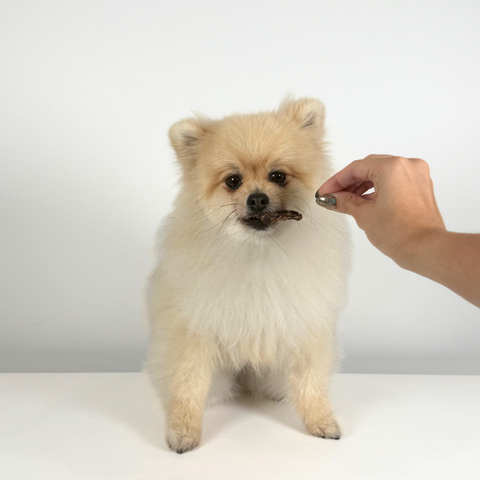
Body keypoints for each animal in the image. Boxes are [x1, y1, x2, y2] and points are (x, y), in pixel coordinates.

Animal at [144, 95, 350, 452]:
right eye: (233, 181)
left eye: (278, 175)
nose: (257, 198)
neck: (258, 252)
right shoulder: (194, 331)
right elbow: (188, 383)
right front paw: (183, 431)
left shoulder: (305, 323)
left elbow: (310, 381)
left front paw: (321, 422)